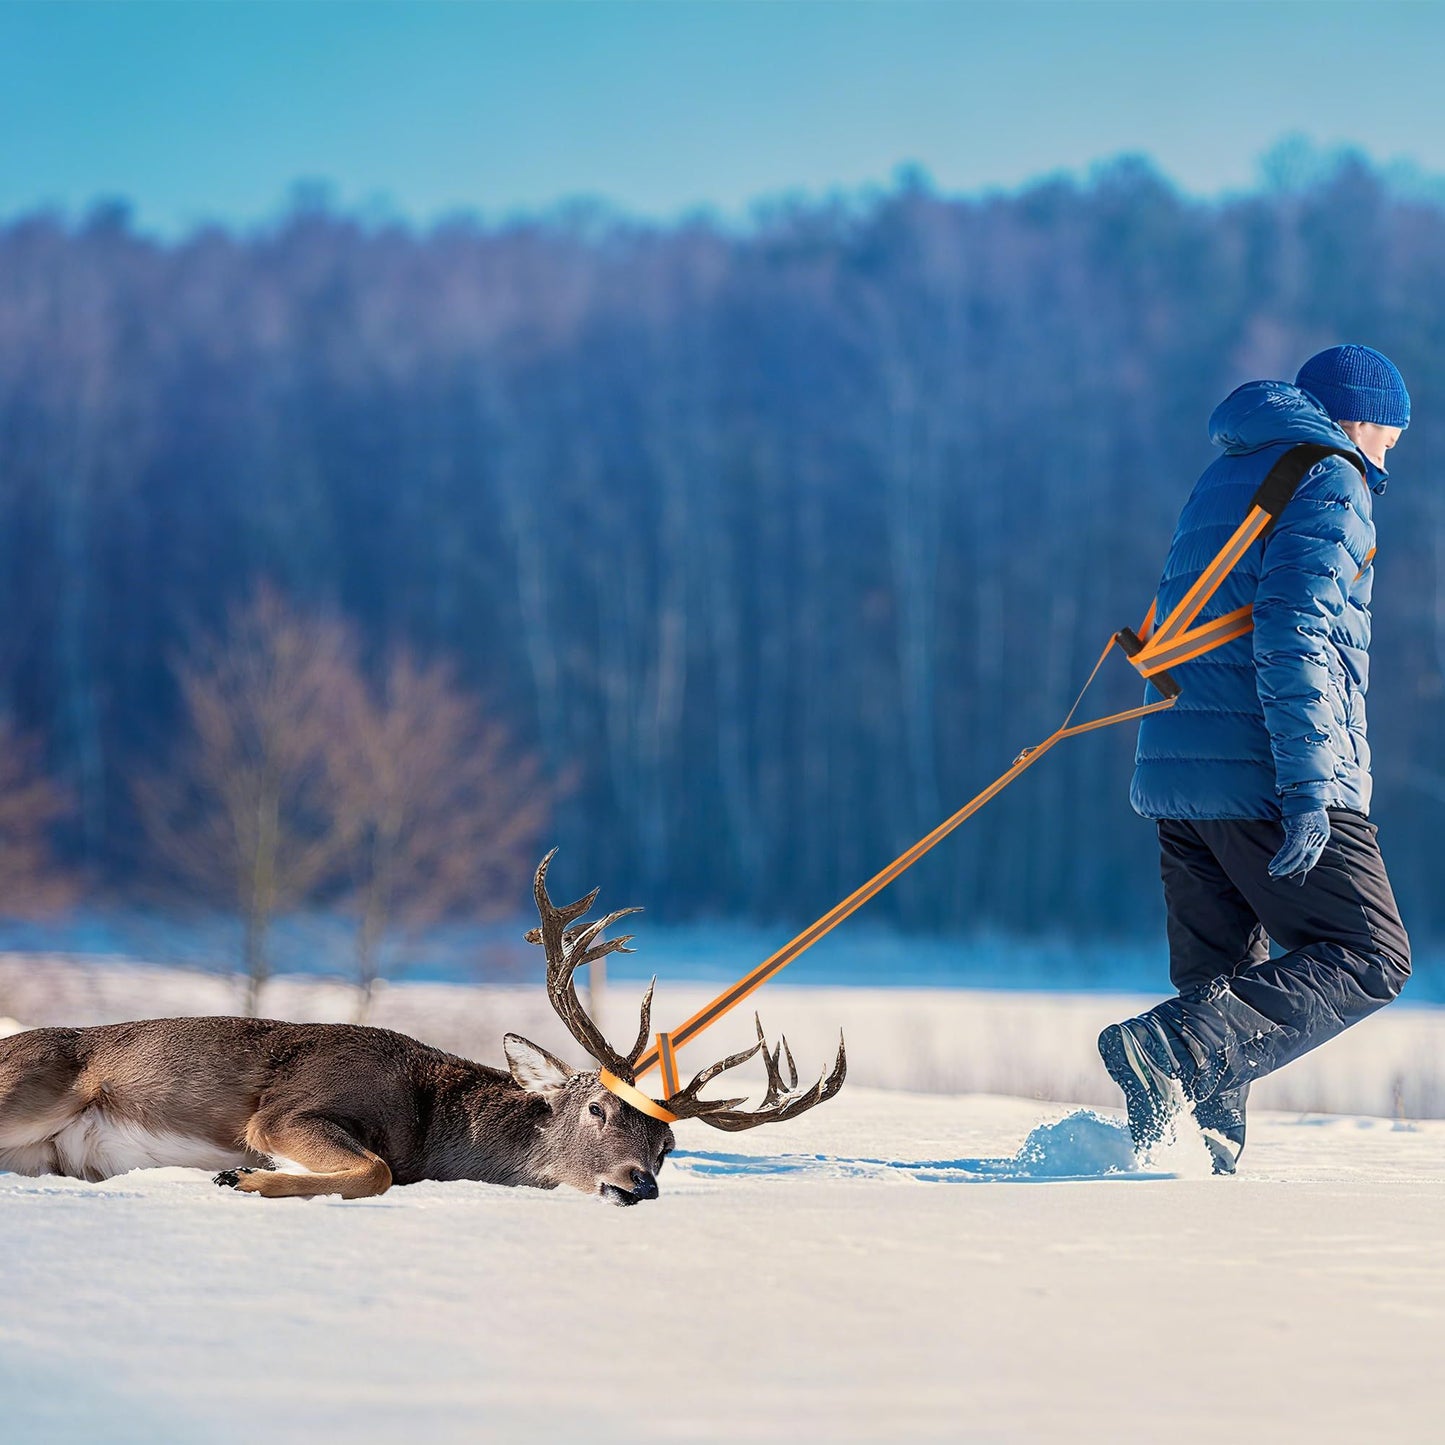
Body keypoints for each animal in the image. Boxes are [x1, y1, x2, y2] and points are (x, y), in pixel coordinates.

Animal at [0, 853, 846, 1204]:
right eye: (599, 1108)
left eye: (669, 1143)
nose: (638, 1182)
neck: (428, 1123)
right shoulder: (285, 1109)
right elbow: (376, 1169)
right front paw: (243, 1177)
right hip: (34, 1082)